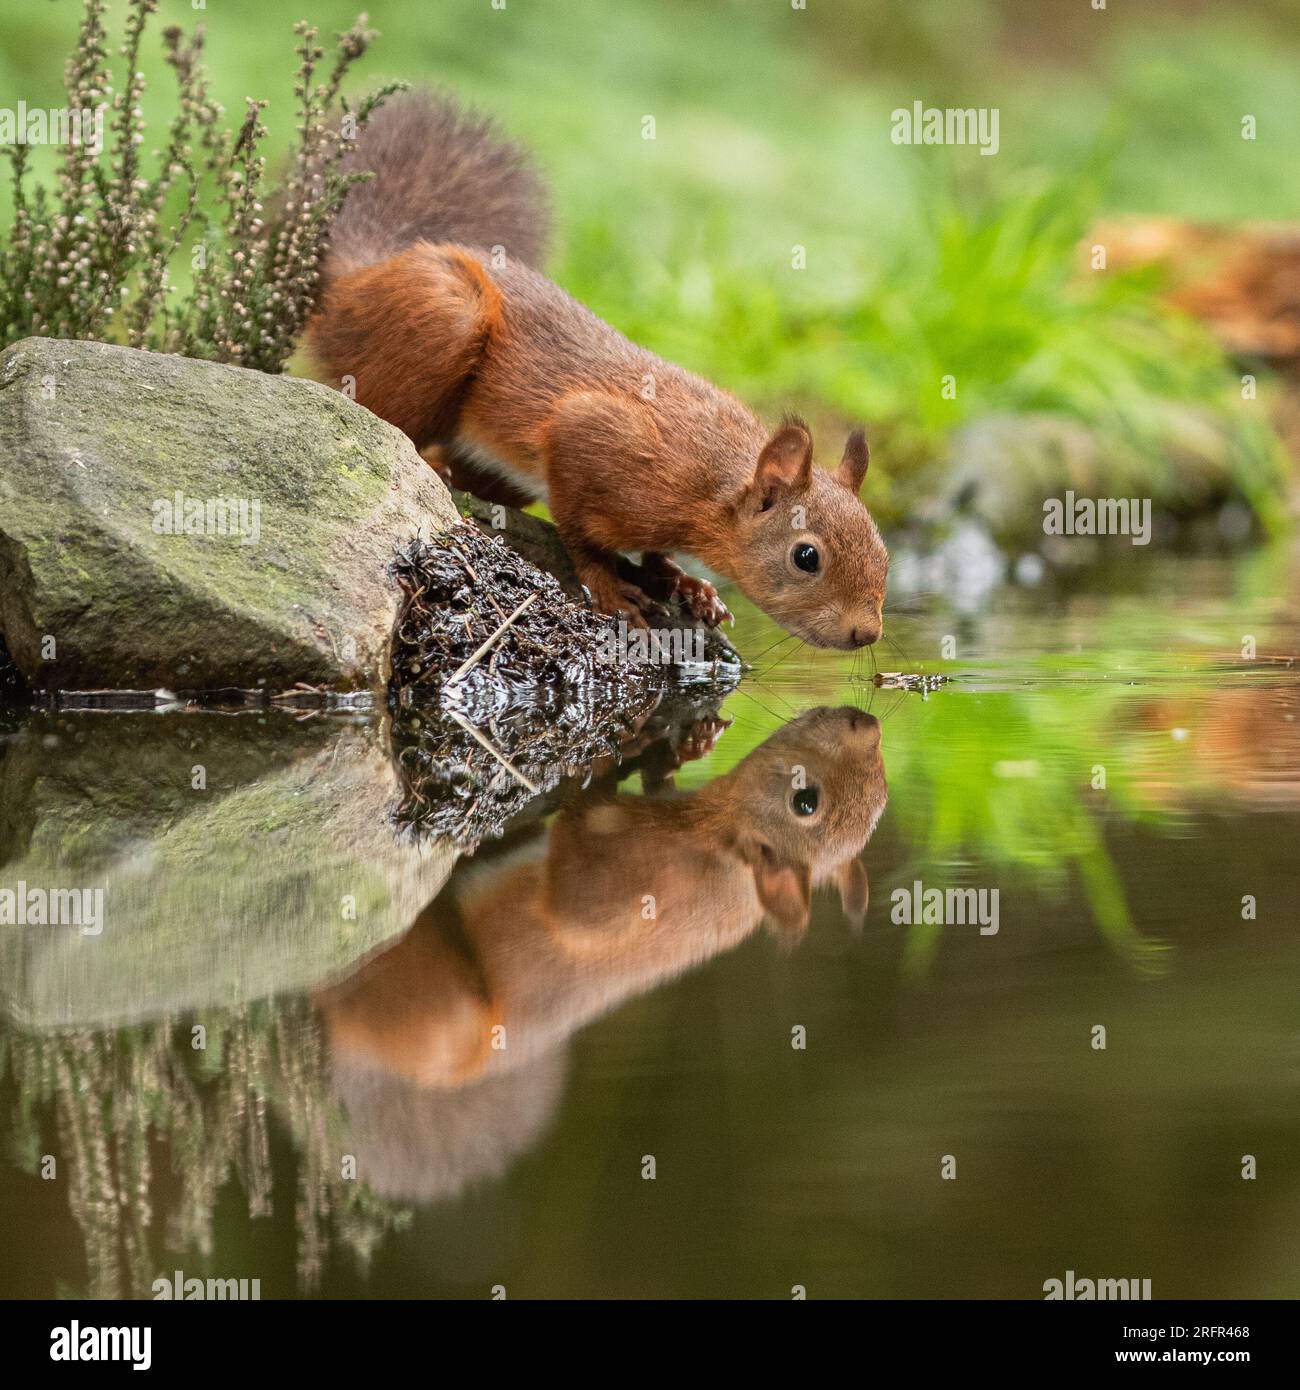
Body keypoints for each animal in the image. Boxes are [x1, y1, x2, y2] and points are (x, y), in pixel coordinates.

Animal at [308, 92, 889, 644]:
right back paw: (429, 459)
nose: (866, 634)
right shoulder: (592, 435)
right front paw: (612, 588)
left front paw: (686, 583)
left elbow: (655, 554)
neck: (709, 485)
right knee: (383, 416)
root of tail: (358, 281)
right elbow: (578, 530)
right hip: (443, 317)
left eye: (884, 552)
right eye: (806, 557)